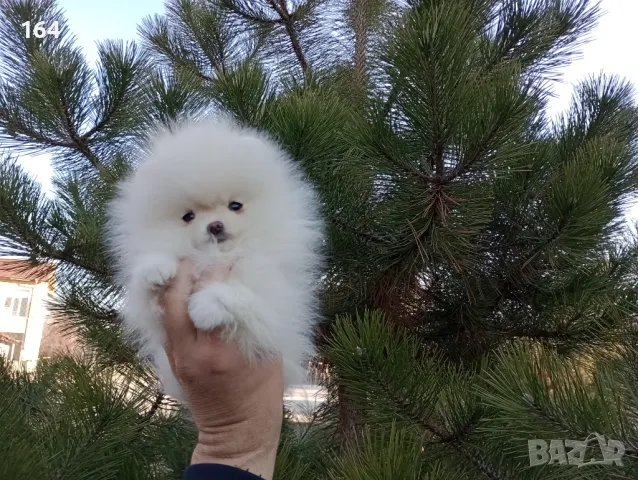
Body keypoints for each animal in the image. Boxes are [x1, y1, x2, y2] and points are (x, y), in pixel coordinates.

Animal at [107, 118, 324, 400]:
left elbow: (242, 294)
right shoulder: (153, 314)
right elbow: (147, 284)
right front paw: (154, 268)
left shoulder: (274, 297)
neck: (217, 256)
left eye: (235, 205)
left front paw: (207, 306)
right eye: (188, 216)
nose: (215, 226)